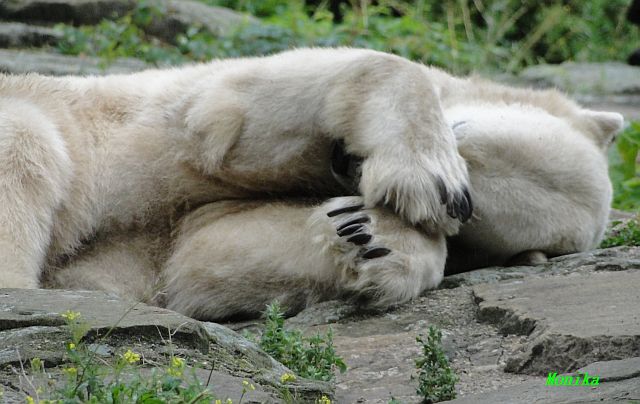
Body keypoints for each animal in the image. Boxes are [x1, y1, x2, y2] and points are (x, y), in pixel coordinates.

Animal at [0, 48, 622, 321]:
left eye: (475, 221)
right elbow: (235, 112)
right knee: (25, 141)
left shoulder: (186, 224)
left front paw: (369, 236)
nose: (347, 165)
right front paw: (422, 178)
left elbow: (207, 251)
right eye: (460, 136)